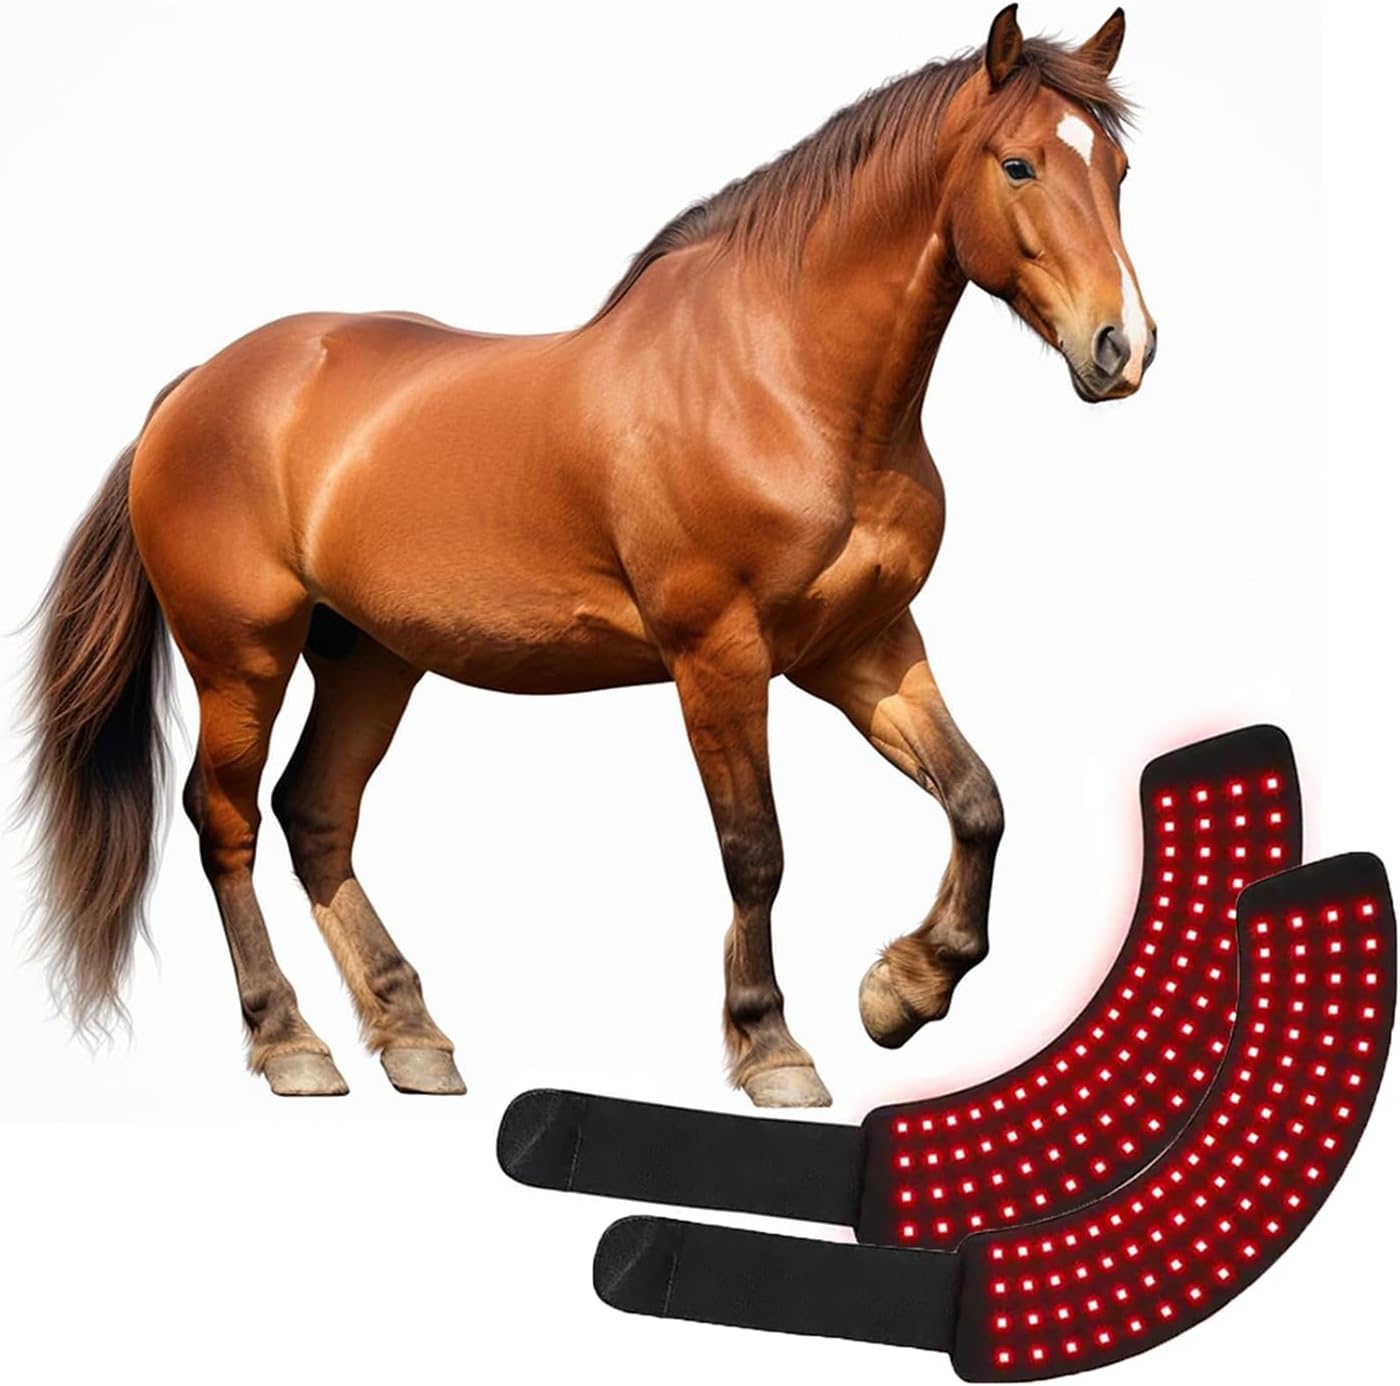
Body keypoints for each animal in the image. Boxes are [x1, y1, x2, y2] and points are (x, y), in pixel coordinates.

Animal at [23, 5, 1154, 1106]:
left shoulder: (861, 646)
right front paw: (770, 1046)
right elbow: (755, 850)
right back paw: (290, 1043)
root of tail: (198, 386)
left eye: (1117, 168)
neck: (780, 382)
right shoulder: (718, 656)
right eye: (1018, 164)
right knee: (226, 822)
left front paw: (903, 990)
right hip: (240, 658)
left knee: (315, 814)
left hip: (368, 656)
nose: (1122, 347)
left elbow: (977, 801)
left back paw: (412, 1035)